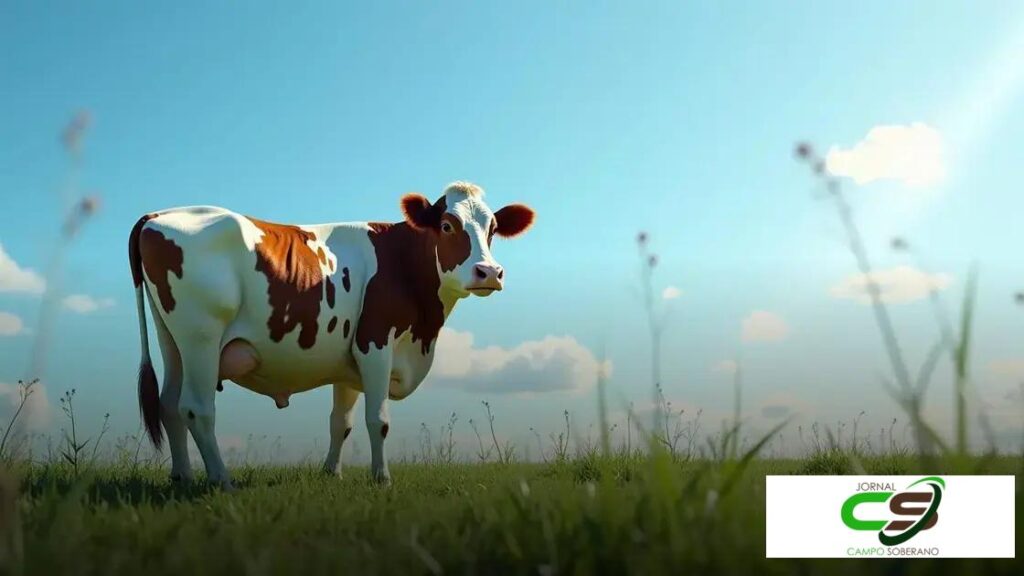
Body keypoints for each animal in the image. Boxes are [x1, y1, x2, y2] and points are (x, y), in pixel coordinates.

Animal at [128, 182, 534, 488]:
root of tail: (159, 215)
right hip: (201, 336)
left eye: (493, 229)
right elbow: (378, 419)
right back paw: (221, 480)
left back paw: (182, 477)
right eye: (448, 225)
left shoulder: (349, 359)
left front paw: (331, 473)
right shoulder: (375, 342)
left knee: (169, 404)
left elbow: (341, 422)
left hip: (172, 339)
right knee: (197, 407)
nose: (489, 272)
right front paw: (382, 478)